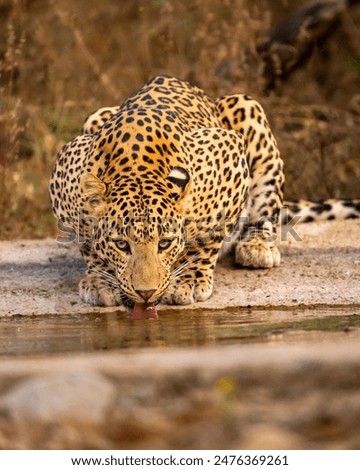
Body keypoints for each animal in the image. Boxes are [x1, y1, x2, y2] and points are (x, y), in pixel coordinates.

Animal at [48, 76, 360, 320]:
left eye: (165, 243)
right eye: (122, 245)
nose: (146, 293)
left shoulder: (228, 152)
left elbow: (207, 234)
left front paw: (189, 280)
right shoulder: (65, 174)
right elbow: (86, 242)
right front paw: (101, 281)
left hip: (248, 110)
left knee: (266, 206)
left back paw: (257, 246)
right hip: (96, 115)